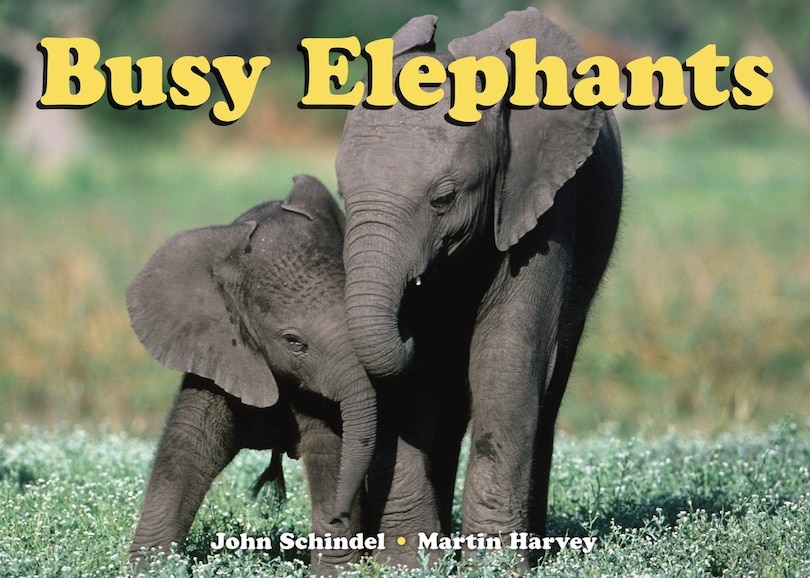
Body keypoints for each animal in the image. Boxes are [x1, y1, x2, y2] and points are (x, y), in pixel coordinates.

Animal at [126, 175, 377, 574]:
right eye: (293, 341)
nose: (340, 517)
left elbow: (329, 452)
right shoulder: (219, 351)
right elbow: (188, 447)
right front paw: (152, 568)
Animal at [336, 8, 623, 566]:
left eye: (443, 199)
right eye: (341, 194)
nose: (406, 326)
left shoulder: (546, 203)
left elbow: (506, 355)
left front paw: (497, 565)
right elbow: (416, 388)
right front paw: (408, 565)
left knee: (546, 390)